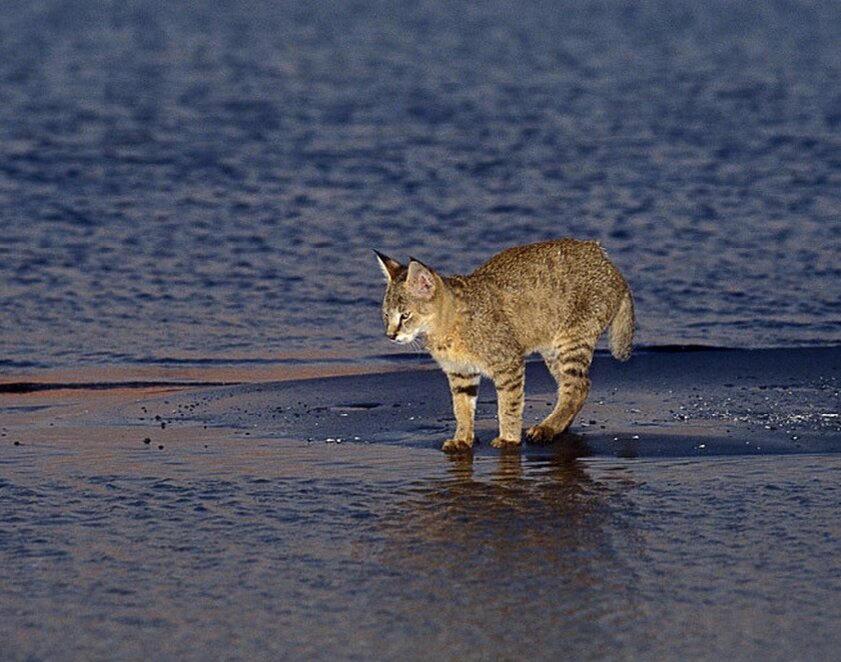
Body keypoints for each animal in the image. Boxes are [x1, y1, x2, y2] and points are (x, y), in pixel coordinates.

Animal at [370, 241, 632, 454]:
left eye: (405, 316)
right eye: (386, 315)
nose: (390, 335)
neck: (445, 330)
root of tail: (605, 259)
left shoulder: (508, 363)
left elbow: (509, 403)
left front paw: (508, 438)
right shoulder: (460, 373)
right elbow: (461, 408)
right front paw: (463, 438)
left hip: (570, 340)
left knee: (577, 386)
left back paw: (547, 428)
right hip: (552, 348)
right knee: (580, 386)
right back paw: (557, 426)